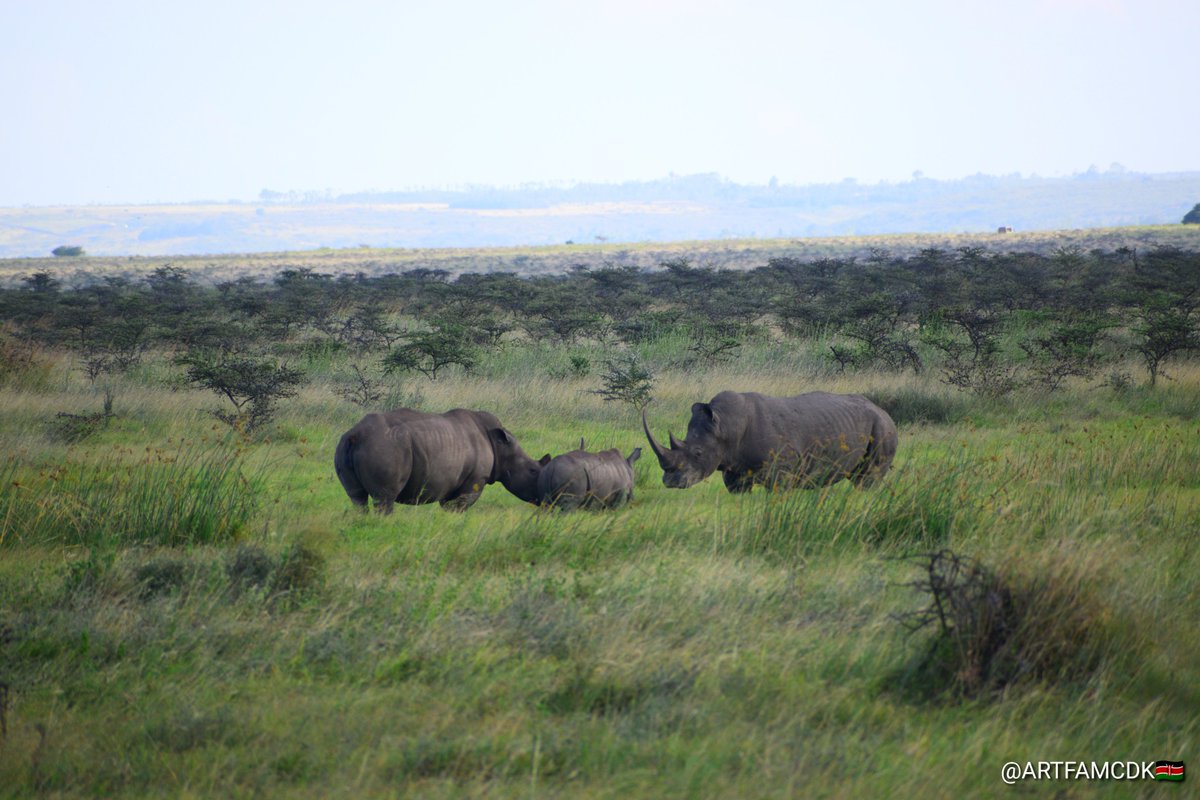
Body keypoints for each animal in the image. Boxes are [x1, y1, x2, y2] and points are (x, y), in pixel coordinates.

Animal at [333, 407, 549, 513]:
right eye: (533, 471)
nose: (543, 500)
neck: (501, 446)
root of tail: (356, 435)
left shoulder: (453, 481)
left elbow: (448, 506)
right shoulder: (474, 480)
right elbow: (460, 507)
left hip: (345, 444)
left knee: (357, 498)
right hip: (386, 446)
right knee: (384, 498)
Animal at [643, 391, 897, 491]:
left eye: (697, 453)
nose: (670, 482)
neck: (726, 426)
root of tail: (885, 412)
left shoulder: (783, 470)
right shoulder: (734, 470)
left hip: (883, 428)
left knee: (867, 479)